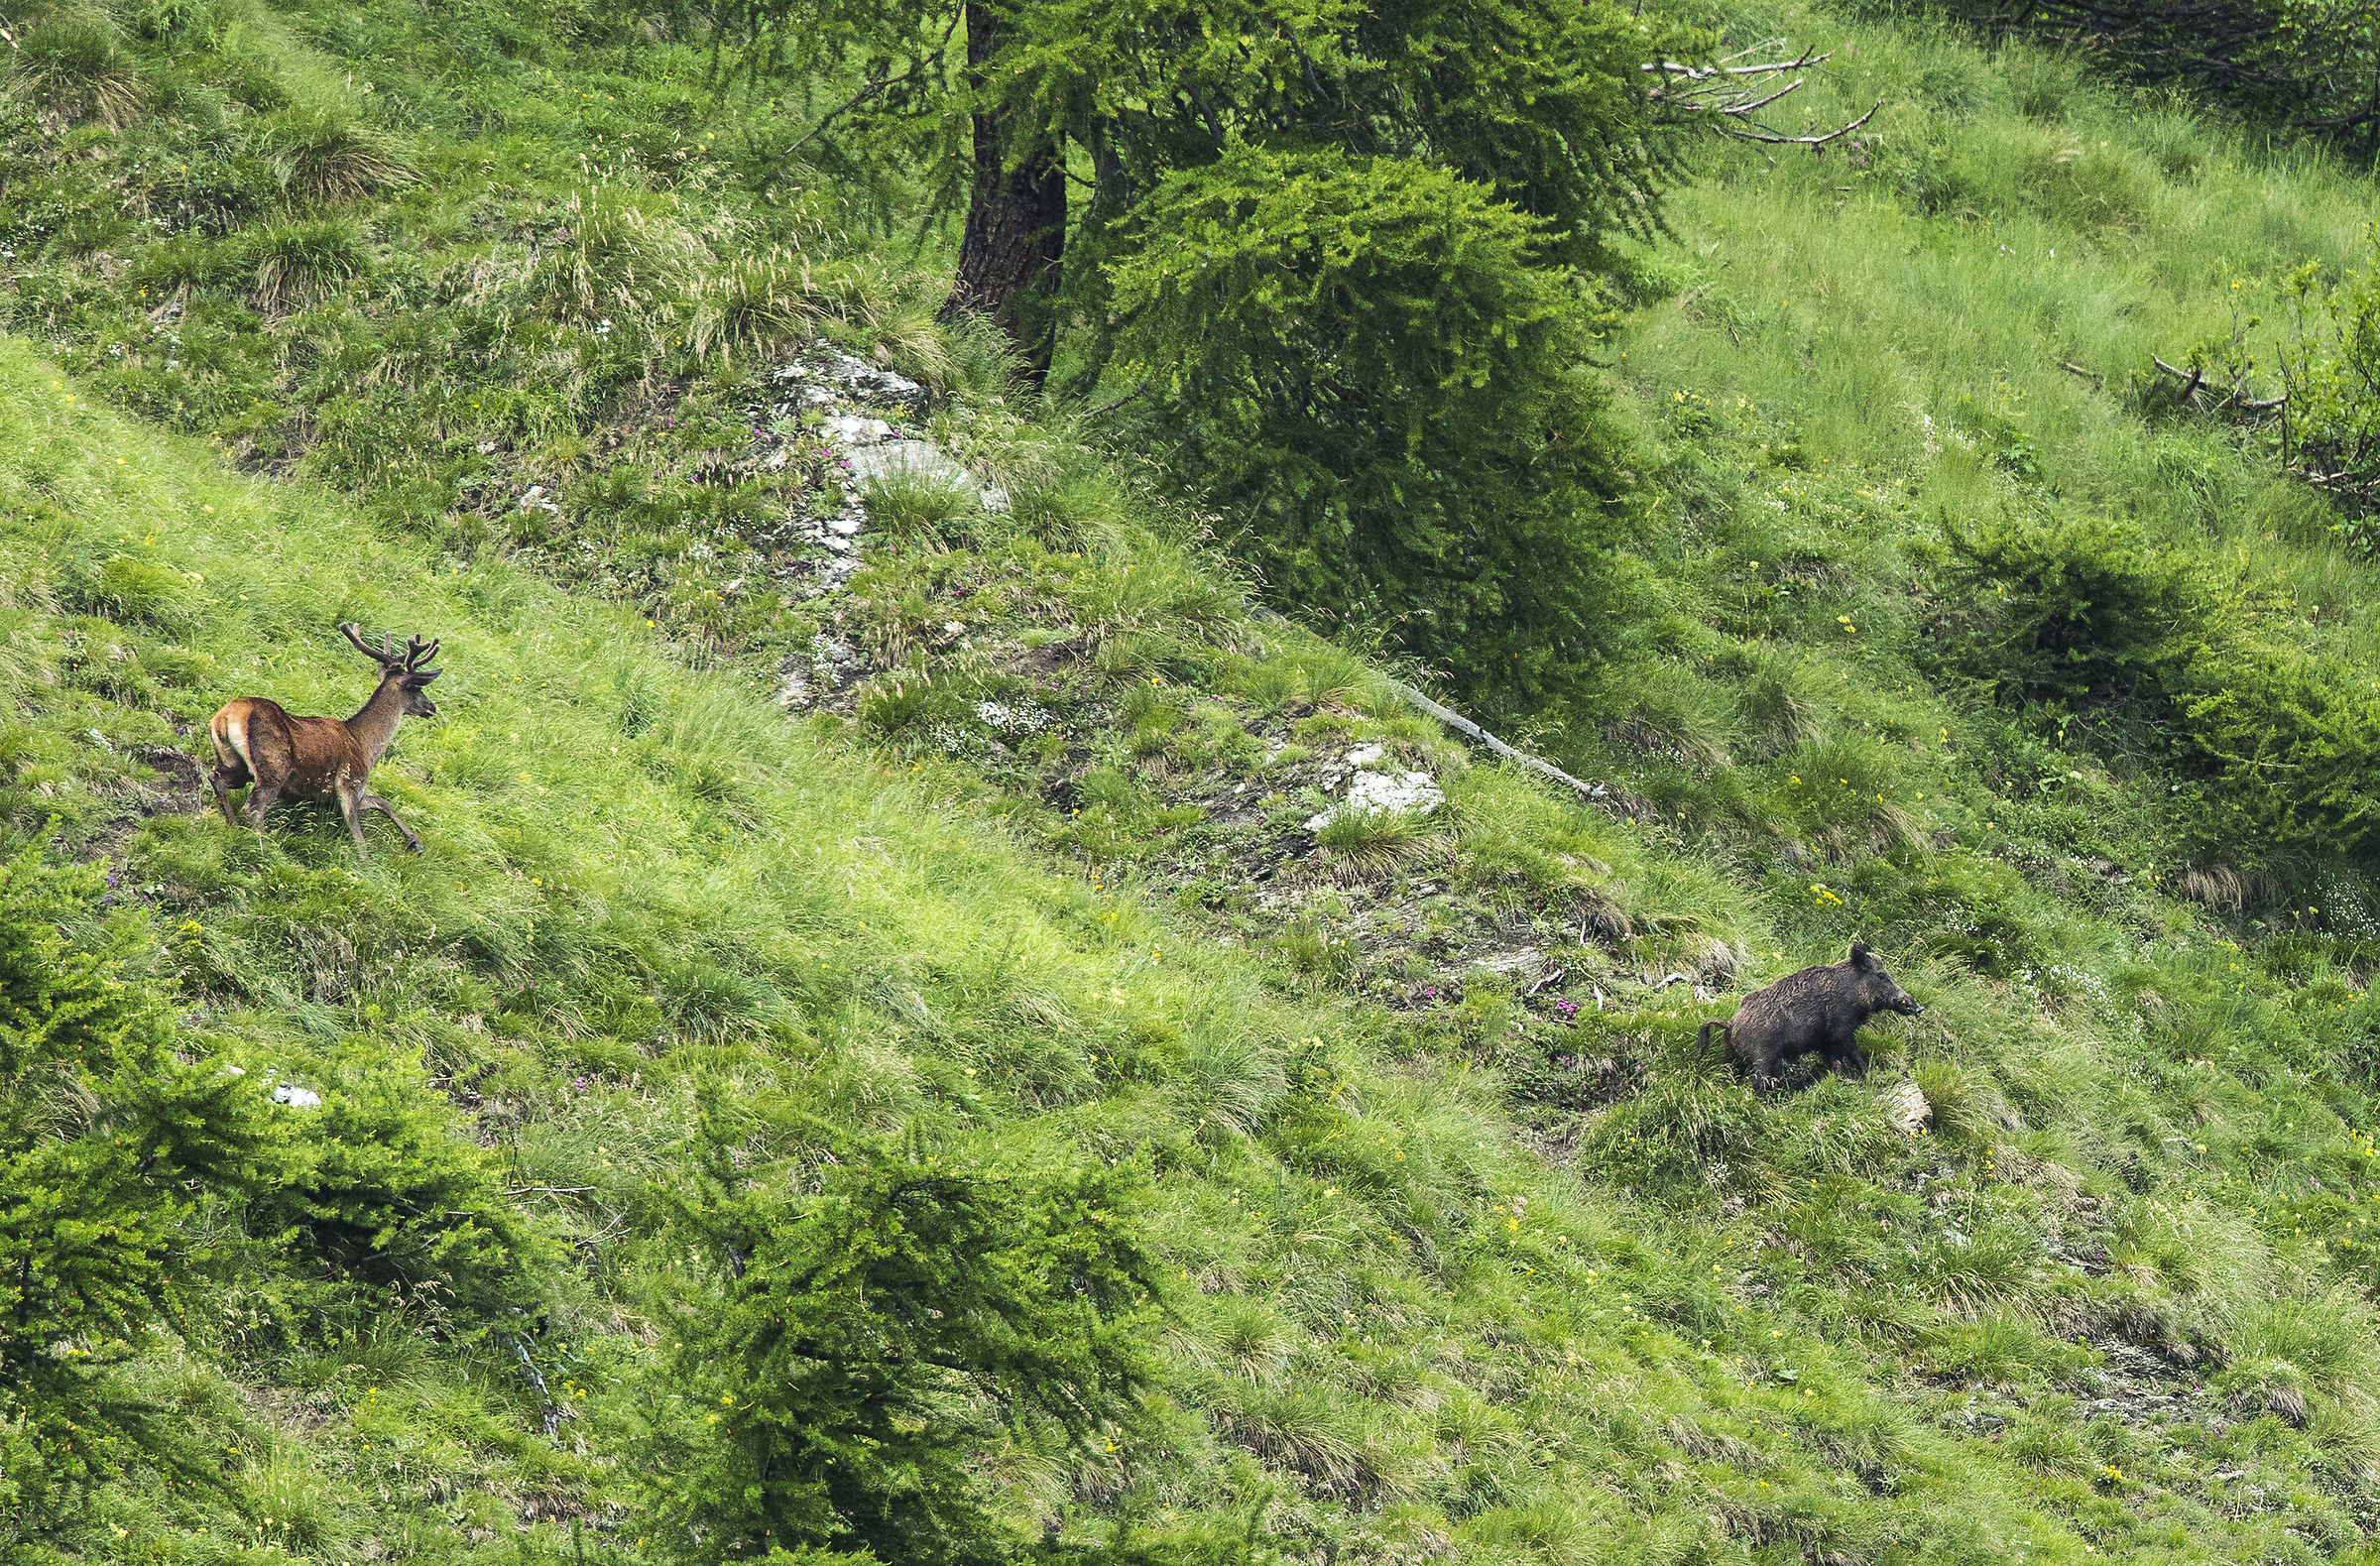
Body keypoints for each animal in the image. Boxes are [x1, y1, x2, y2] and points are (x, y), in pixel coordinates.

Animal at [208, 623, 442, 852]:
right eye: (417, 687)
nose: (432, 707)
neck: (366, 744)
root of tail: (227, 716)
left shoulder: (339, 796)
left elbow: (382, 801)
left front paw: (415, 841)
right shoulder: (350, 783)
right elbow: (359, 836)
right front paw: (366, 862)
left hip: (234, 763)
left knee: (217, 779)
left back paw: (233, 826)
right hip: (273, 766)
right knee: (253, 810)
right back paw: (270, 849)